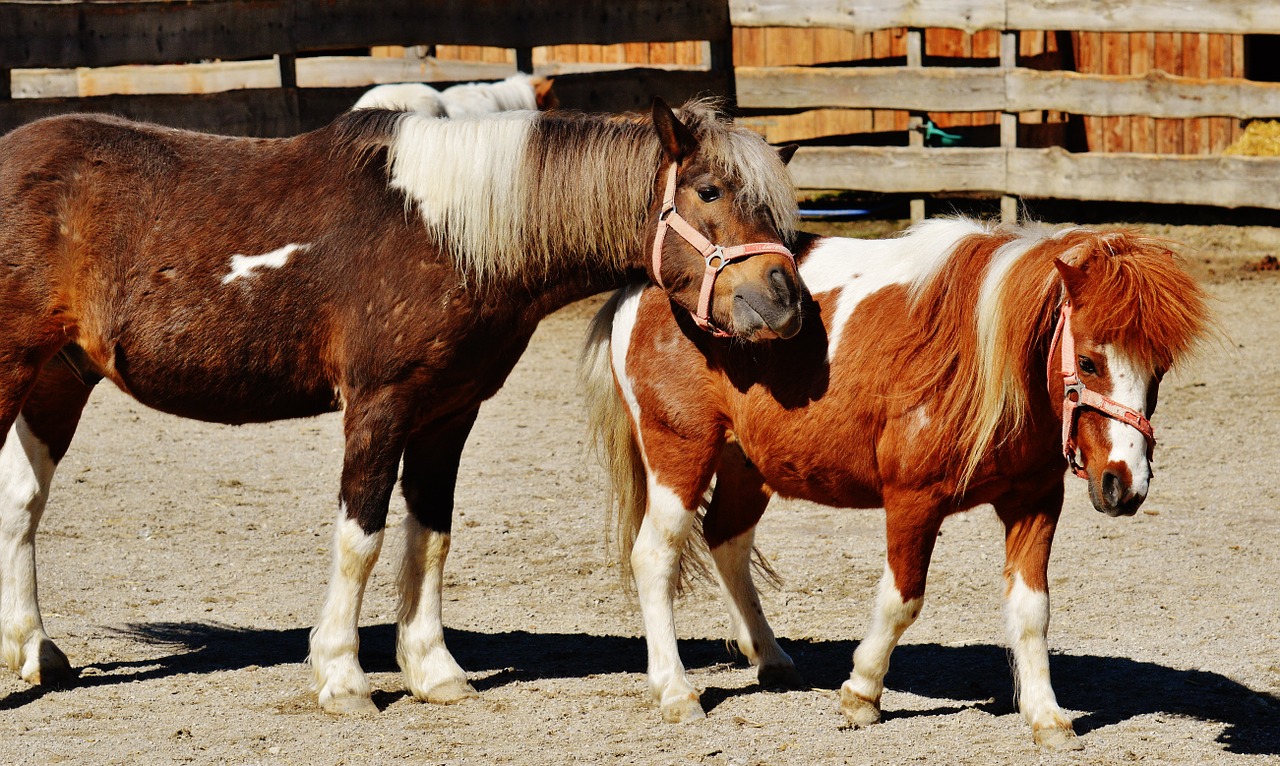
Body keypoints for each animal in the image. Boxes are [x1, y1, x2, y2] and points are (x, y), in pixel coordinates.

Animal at [0, 100, 798, 712]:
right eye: (708, 191)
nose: (783, 300)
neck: (445, 234)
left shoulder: (448, 413)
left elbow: (430, 536)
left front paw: (432, 669)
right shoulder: (379, 408)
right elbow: (361, 537)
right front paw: (343, 676)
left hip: (58, 379)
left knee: (22, 503)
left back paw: (35, 650)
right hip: (14, 371)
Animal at [586, 220, 1213, 748]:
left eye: (1159, 370)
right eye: (1087, 363)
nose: (1124, 484)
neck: (980, 357)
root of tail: (644, 288)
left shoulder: (1035, 502)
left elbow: (1033, 611)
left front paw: (1046, 715)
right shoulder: (913, 501)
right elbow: (901, 600)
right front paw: (862, 693)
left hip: (747, 465)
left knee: (727, 542)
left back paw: (768, 655)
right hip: (681, 455)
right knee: (655, 557)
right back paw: (675, 690)